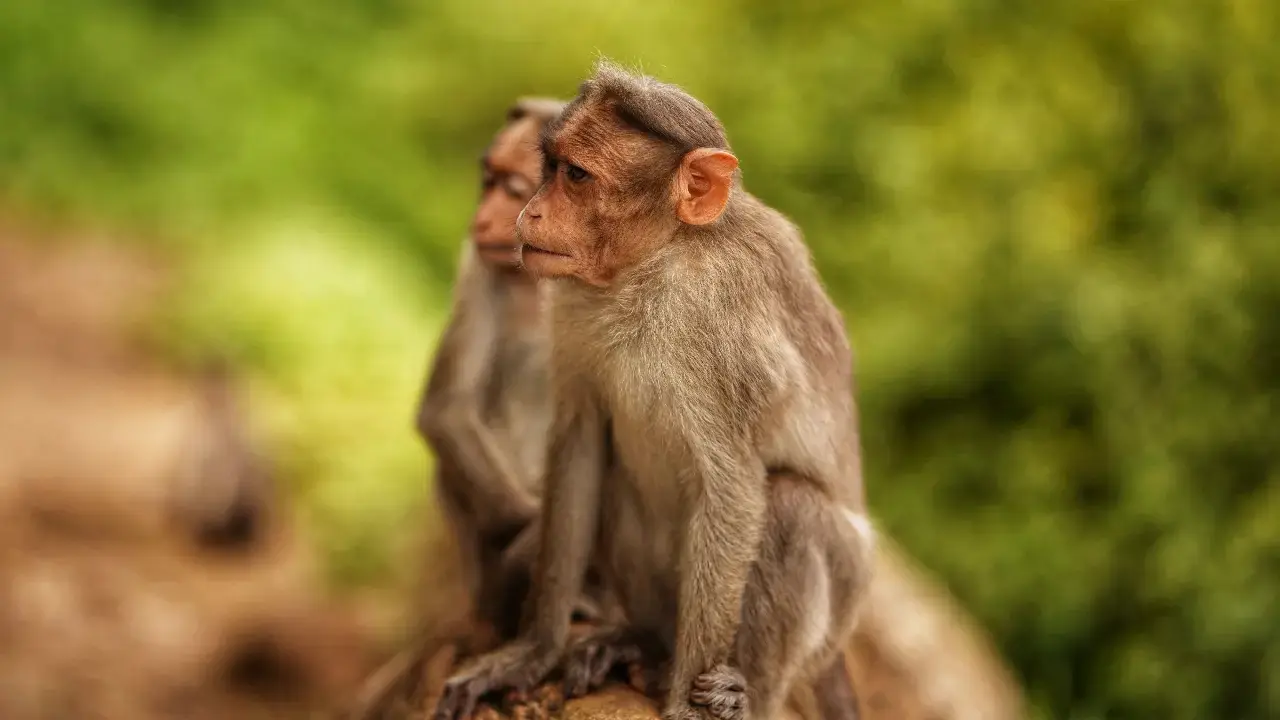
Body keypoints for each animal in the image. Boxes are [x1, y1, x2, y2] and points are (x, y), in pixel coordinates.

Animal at [431, 60, 874, 720]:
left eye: (576, 175)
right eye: (549, 168)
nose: (529, 215)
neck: (655, 263)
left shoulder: (726, 331)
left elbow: (733, 490)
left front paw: (688, 708)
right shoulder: (571, 301)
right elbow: (581, 441)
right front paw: (531, 651)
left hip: (838, 603)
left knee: (792, 506)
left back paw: (739, 691)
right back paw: (641, 641)